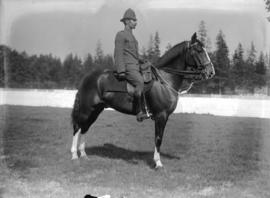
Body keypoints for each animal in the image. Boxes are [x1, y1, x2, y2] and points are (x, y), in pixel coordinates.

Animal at [70, 32, 215, 169]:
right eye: (199, 50)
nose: (211, 72)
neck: (164, 81)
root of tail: (88, 77)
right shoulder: (161, 116)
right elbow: (158, 138)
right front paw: (158, 163)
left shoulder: (164, 116)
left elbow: (159, 138)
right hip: (86, 109)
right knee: (78, 127)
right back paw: (74, 155)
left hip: (96, 110)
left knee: (85, 128)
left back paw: (83, 155)